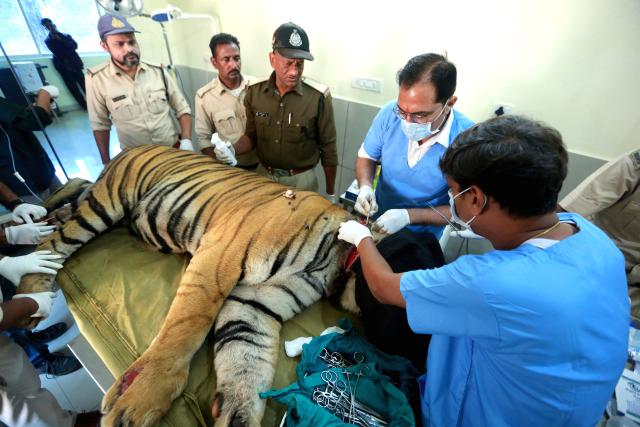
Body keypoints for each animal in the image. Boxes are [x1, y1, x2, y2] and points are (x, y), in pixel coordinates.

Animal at [15, 145, 378, 427]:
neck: (333, 265)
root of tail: (128, 149)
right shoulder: (220, 255)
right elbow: (187, 326)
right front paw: (139, 397)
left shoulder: (256, 301)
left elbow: (247, 359)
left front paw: (237, 414)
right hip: (106, 203)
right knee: (52, 241)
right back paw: (33, 290)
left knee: (65, 205)